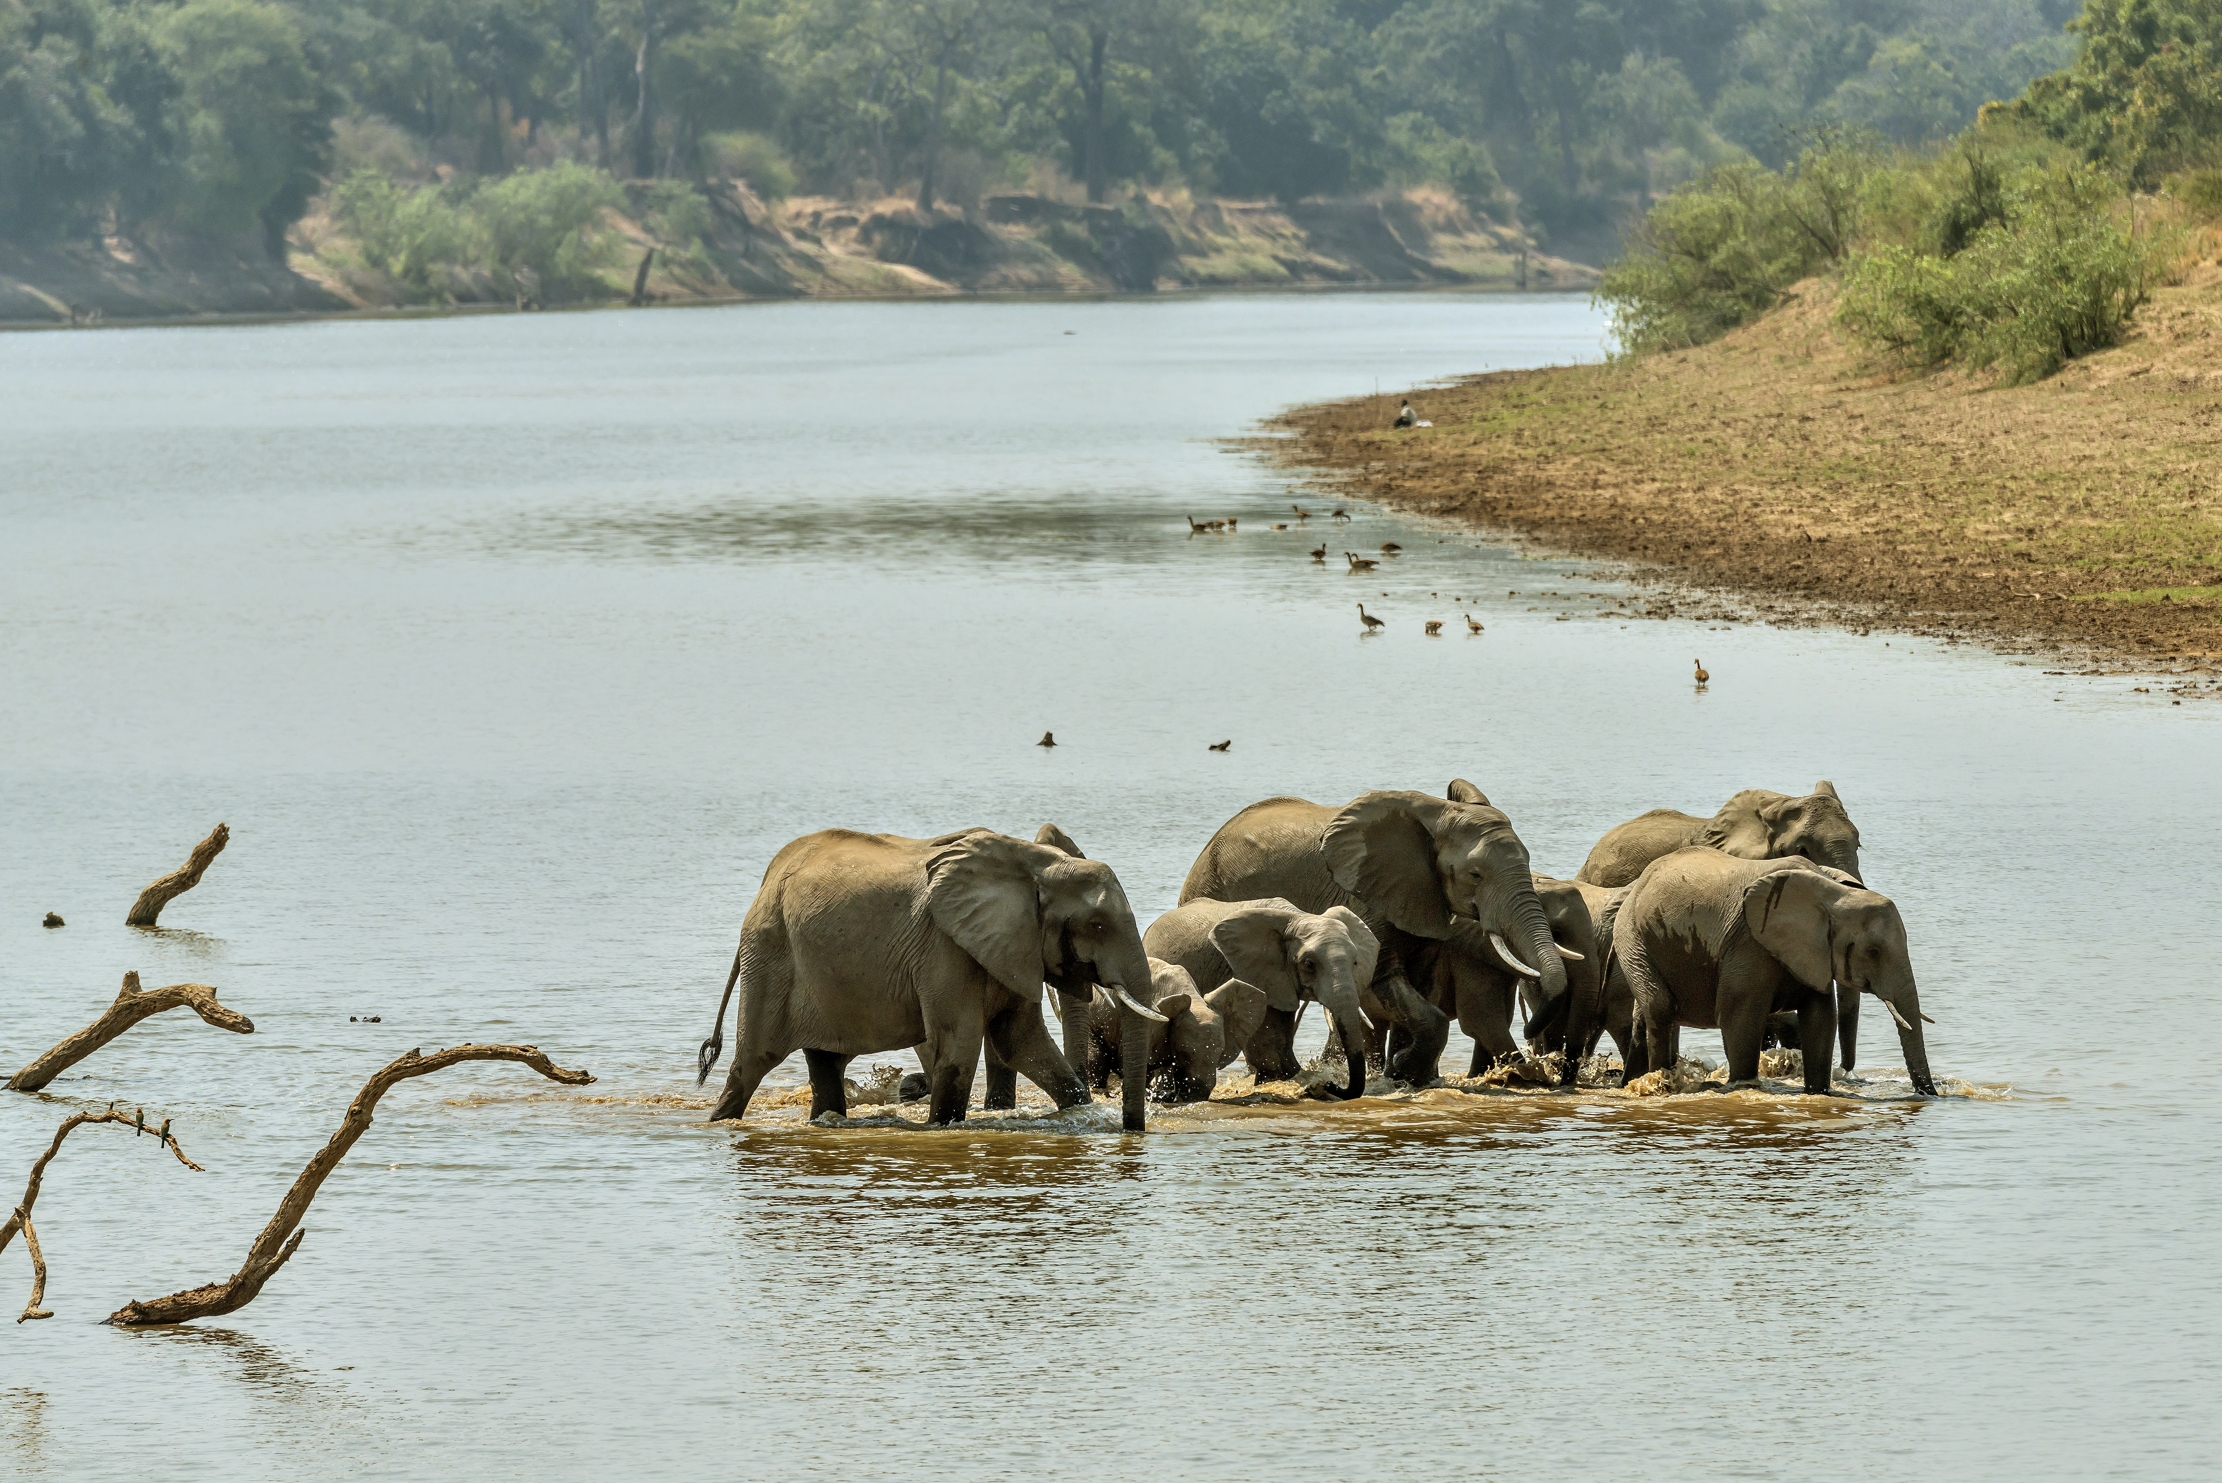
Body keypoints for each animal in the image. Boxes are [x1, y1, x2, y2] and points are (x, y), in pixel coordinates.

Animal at [696, 822, 1167, 1131]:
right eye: (1098, 925)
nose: (1132, 1130)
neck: (1035, 864)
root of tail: (768, 878)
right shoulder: (945, 947)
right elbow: (959, 1043)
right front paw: (940, 1128)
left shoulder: (1011, 944)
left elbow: (1021, 1041)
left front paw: (1079, 1111)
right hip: (770, 952)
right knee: (752, 1063)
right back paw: (720, 1120)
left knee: (825, 1063)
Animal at [1178, 780, 1573, 1086]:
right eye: (1475, 875)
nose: (1533, 1037)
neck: (1436, 815)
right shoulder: (1361, 898)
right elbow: (1384, 982)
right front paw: (1403, 1070)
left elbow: (1418, 985)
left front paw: (1405, 1076)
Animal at [1612, 847, 1937, 1097]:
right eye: (1873, 951)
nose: (1928, 1095)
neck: (1832, 892)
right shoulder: (1749, 942)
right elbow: (1739, 1017)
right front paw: (1743, 1087)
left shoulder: (1810, 952)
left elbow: (1821, 1018)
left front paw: (1818, 1093)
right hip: (1631, 936)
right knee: (1660, 1008)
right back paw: (1659, 1082)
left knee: (1647, 1016)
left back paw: (1634, 1083)